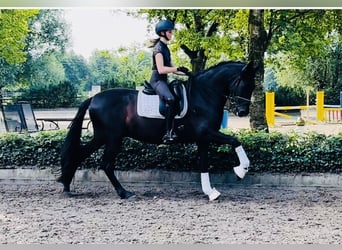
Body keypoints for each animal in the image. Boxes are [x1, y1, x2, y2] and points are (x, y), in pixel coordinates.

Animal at [57, 60, 256, 201]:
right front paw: (241, 170)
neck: (204, 94)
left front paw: (210, 192)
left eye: (253, 86)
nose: (242, 112)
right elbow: (235, 141)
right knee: (106, 164)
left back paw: (67, 185)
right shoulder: (206, 133)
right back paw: (124, 193)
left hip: (102, 136)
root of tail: (94, 98)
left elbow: (204, 164)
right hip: (113, 138)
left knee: (80, 154)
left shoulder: (203, 139)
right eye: (245, 84)